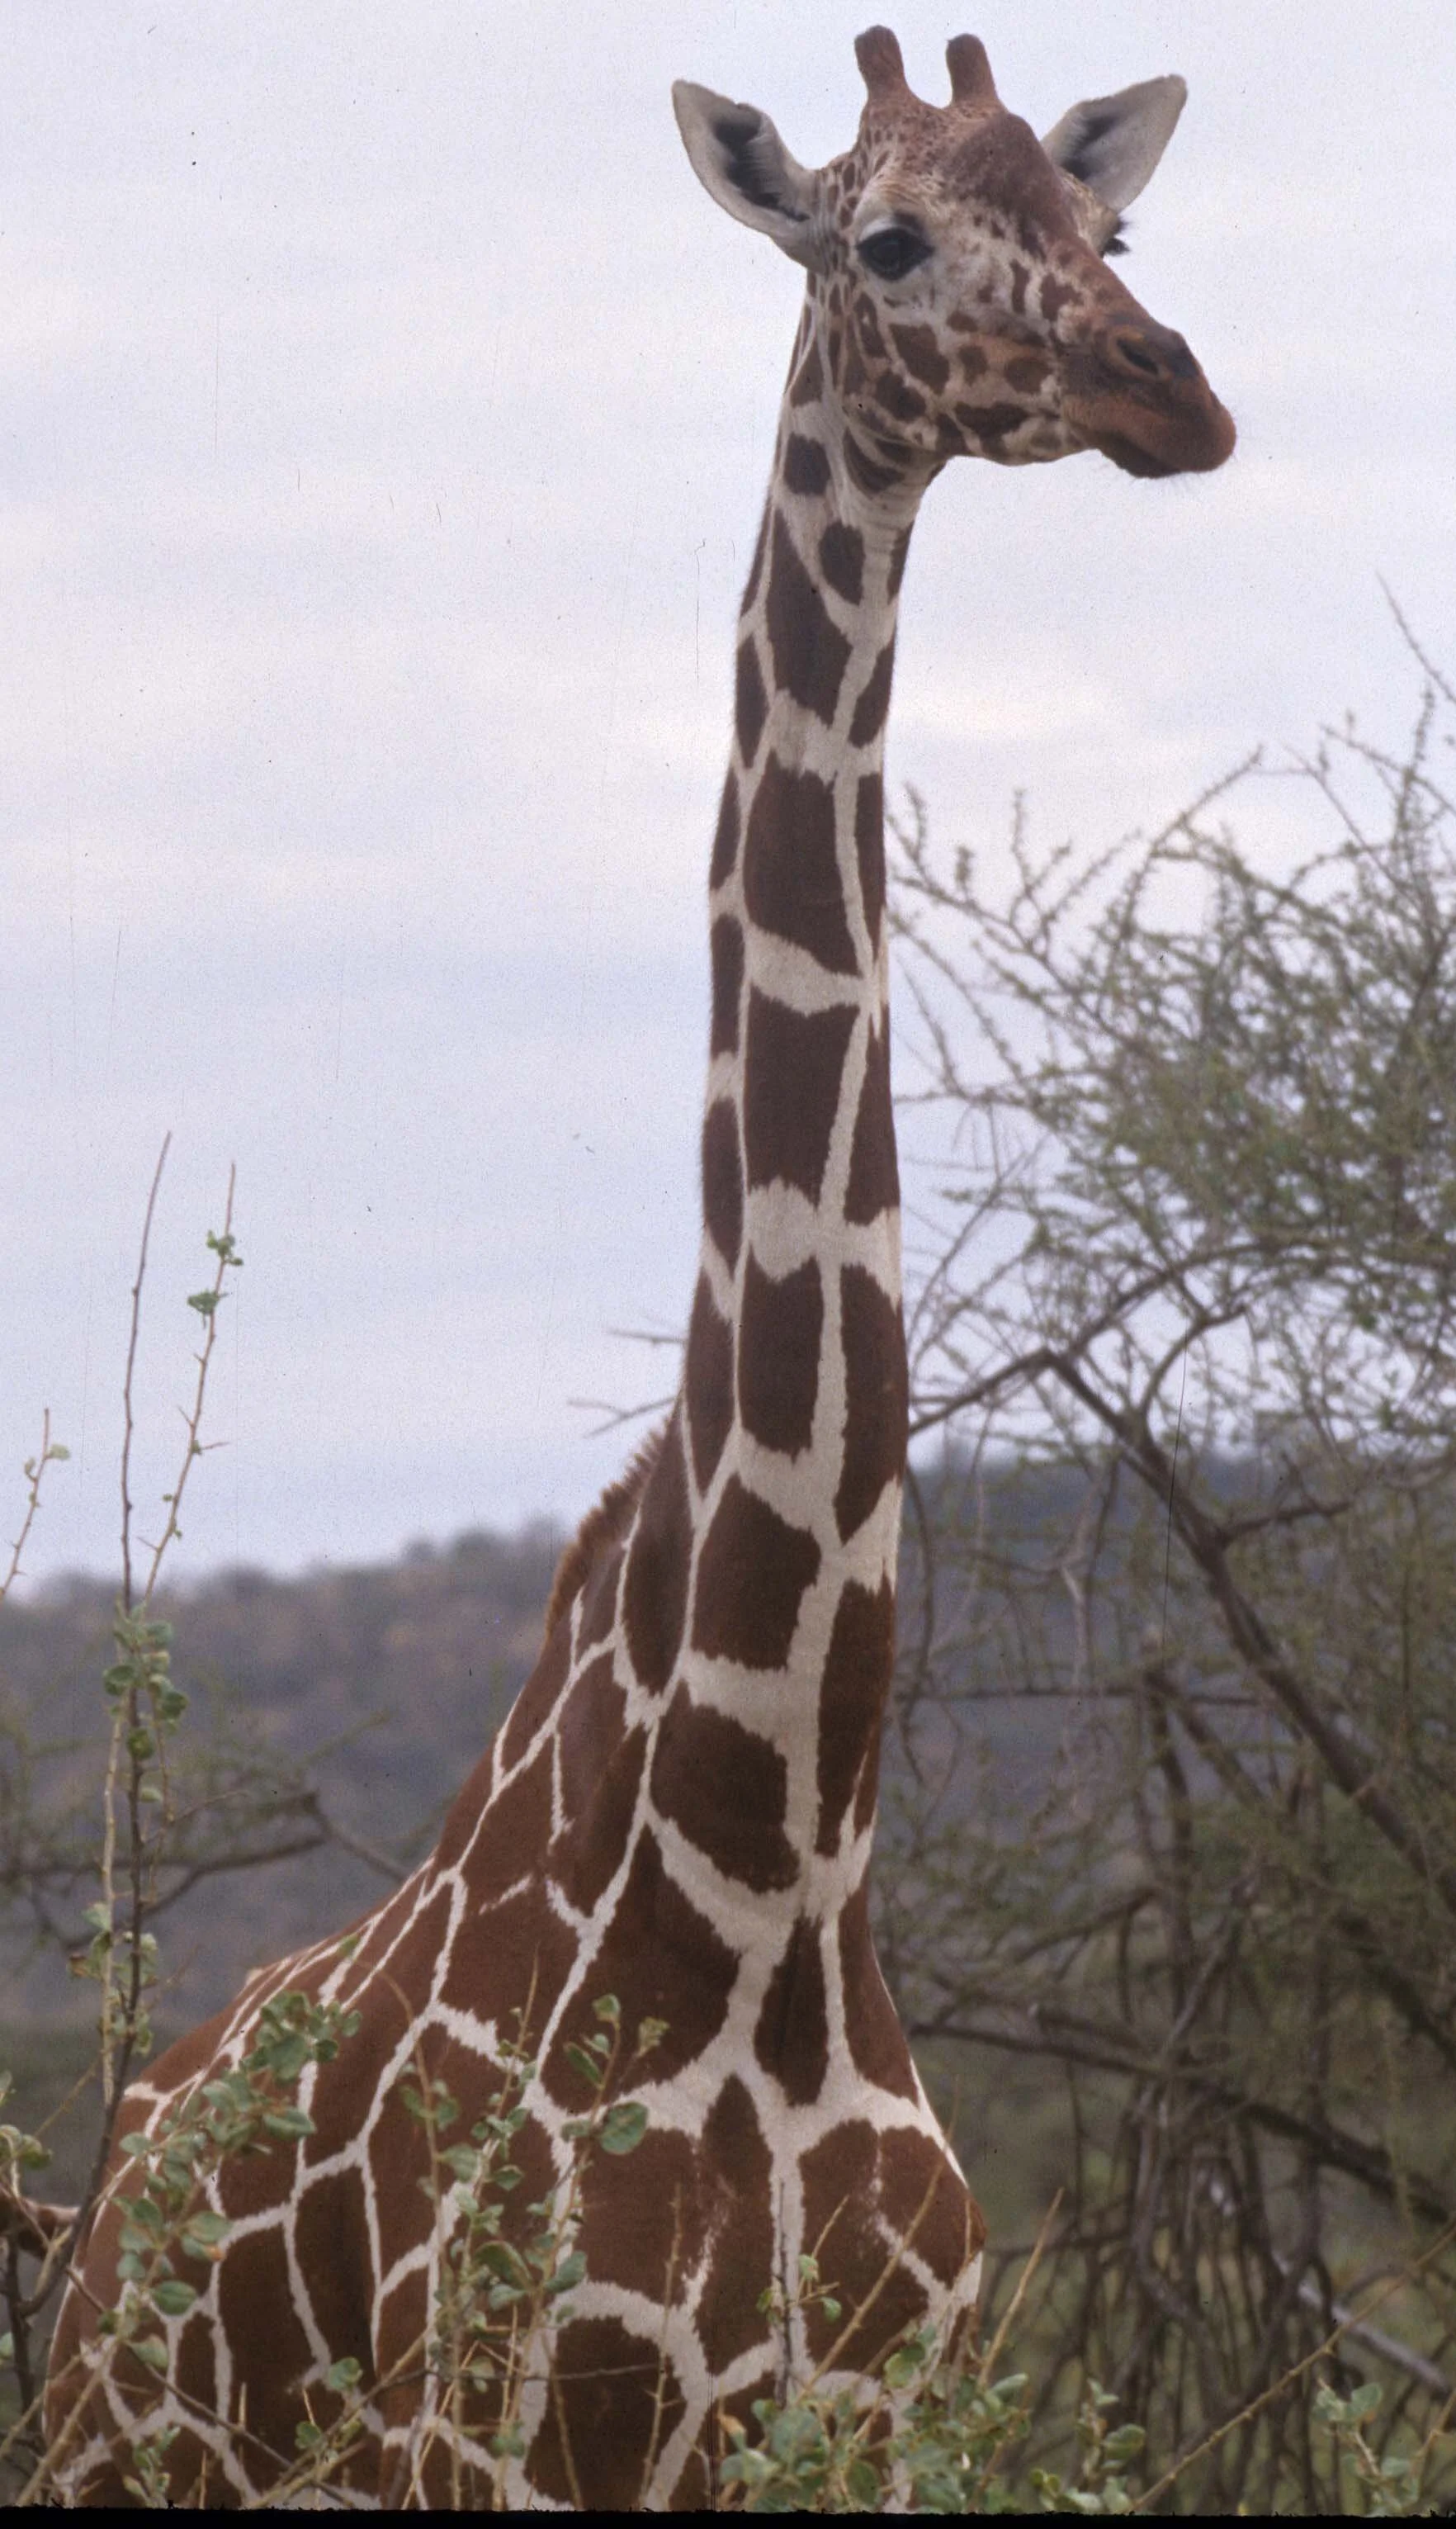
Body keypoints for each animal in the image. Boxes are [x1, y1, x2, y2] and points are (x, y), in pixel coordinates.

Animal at [38, 26, 1233, 2508]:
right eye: (886, 236)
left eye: (1110, 228)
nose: (1171, 391)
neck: (761, 1864)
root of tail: (108, 2183)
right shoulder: (497, 2431)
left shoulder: (882, 2420)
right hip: (120, 2454)